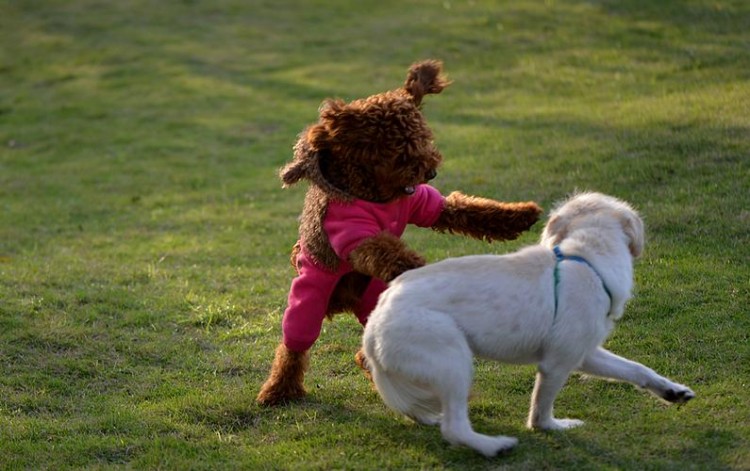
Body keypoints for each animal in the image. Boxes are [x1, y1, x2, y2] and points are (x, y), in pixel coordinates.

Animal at [362, 192, 696, 458]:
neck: (586, 256)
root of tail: (375, 319)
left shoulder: (585, 353)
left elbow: (637, 369)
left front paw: (672, 391)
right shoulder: (557, 364)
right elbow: (541, 410)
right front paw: (553, 427)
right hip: (453, 361)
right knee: (454, 428)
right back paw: (493, 446)